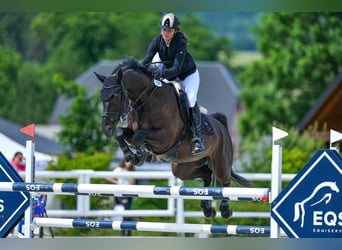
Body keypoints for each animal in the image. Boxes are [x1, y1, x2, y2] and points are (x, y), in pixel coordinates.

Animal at [95, 56, 250, 219]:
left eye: (115, 96)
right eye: (101, 97)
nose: (106, 129)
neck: (147, 100)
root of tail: (220, 125)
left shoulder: (165, 138)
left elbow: (139, 136)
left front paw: (141, 155)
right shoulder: (132, 131)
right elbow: (121, 134)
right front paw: (134, 156)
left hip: (220, 160)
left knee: (224, 179)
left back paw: (225, 210)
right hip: (184, 166)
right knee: (206, 175)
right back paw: (207, 209)